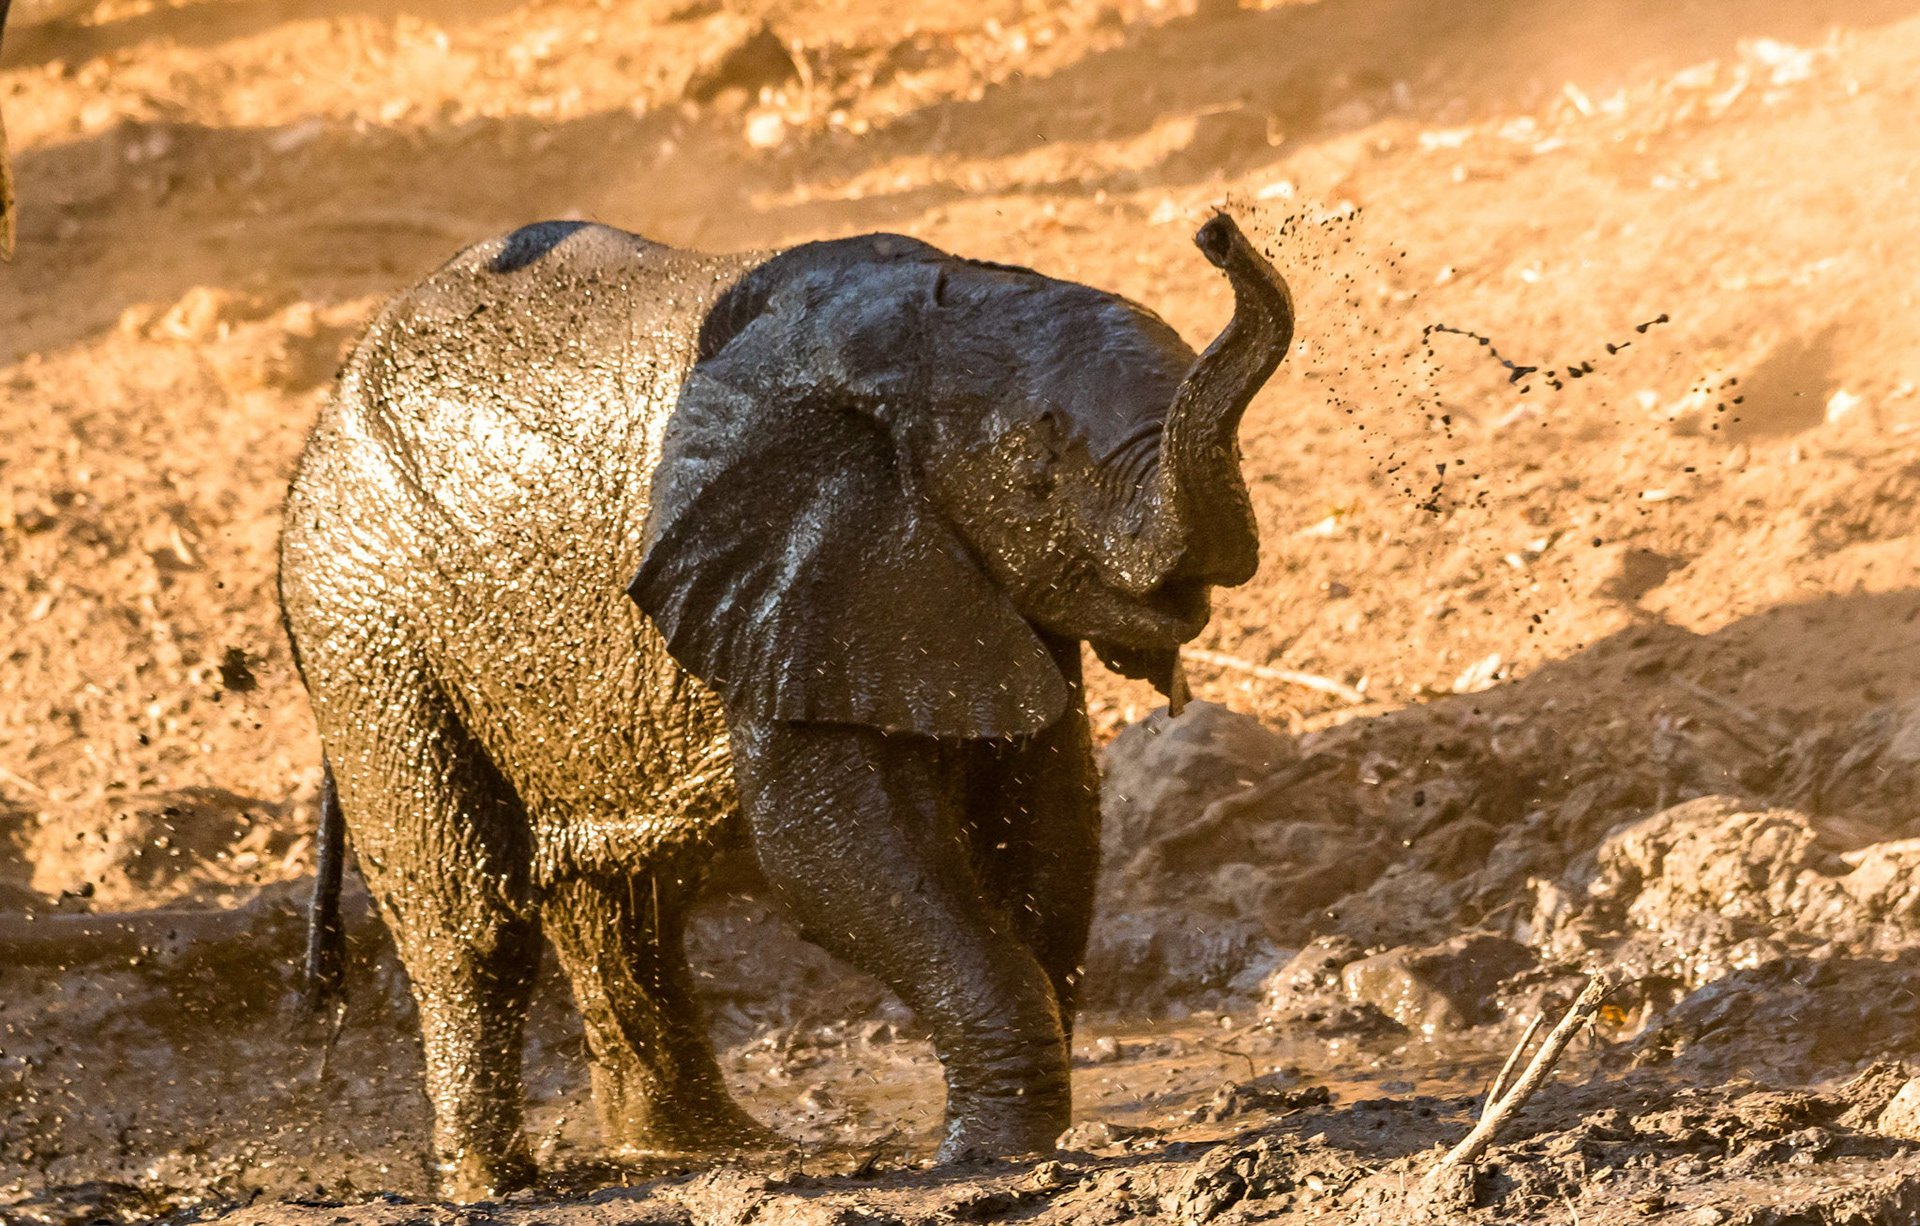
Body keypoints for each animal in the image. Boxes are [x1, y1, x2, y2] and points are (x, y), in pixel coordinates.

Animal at [278, 212, 1293, 1201]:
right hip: (365, 625)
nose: (1216, 231)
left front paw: (1016, 1134)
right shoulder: (786, 569)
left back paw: (709, 1151)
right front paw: (989, 1158)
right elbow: (833, 853)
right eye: (1039, 468)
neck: (921, 328)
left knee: (620, 910)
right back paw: (490, 1187)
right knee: (471, 922)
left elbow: (1047, 827)